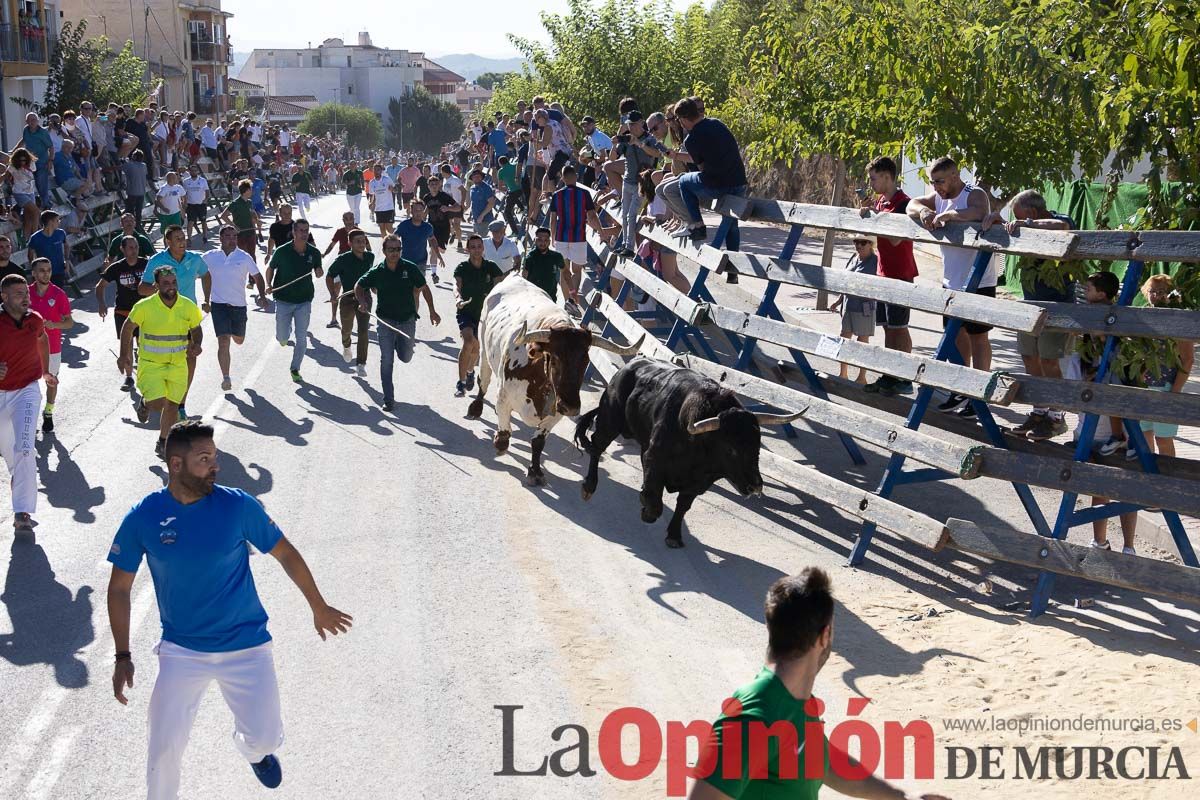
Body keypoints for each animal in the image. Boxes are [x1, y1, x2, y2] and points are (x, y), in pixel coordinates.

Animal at [463, 275, 643, 489]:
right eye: (555, 359)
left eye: (586, 361)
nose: (571, 407)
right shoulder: (504, 397)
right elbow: (505, 431)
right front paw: (500, 444)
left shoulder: (556, 413)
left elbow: (538, 443)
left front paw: (535, 471)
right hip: (484, 349)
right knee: (483, 380)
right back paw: (475, 408)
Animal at [573, 362, 801, 551]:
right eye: (731, 449)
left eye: (757, 447)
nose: (756, 486)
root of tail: (627, 367)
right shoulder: (655, 460)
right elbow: (655, 504)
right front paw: (647, 509)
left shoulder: (699, 482)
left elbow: (683, 506)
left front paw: (674, 536)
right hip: (610, 421)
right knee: (597, 446)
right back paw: (588, 487)